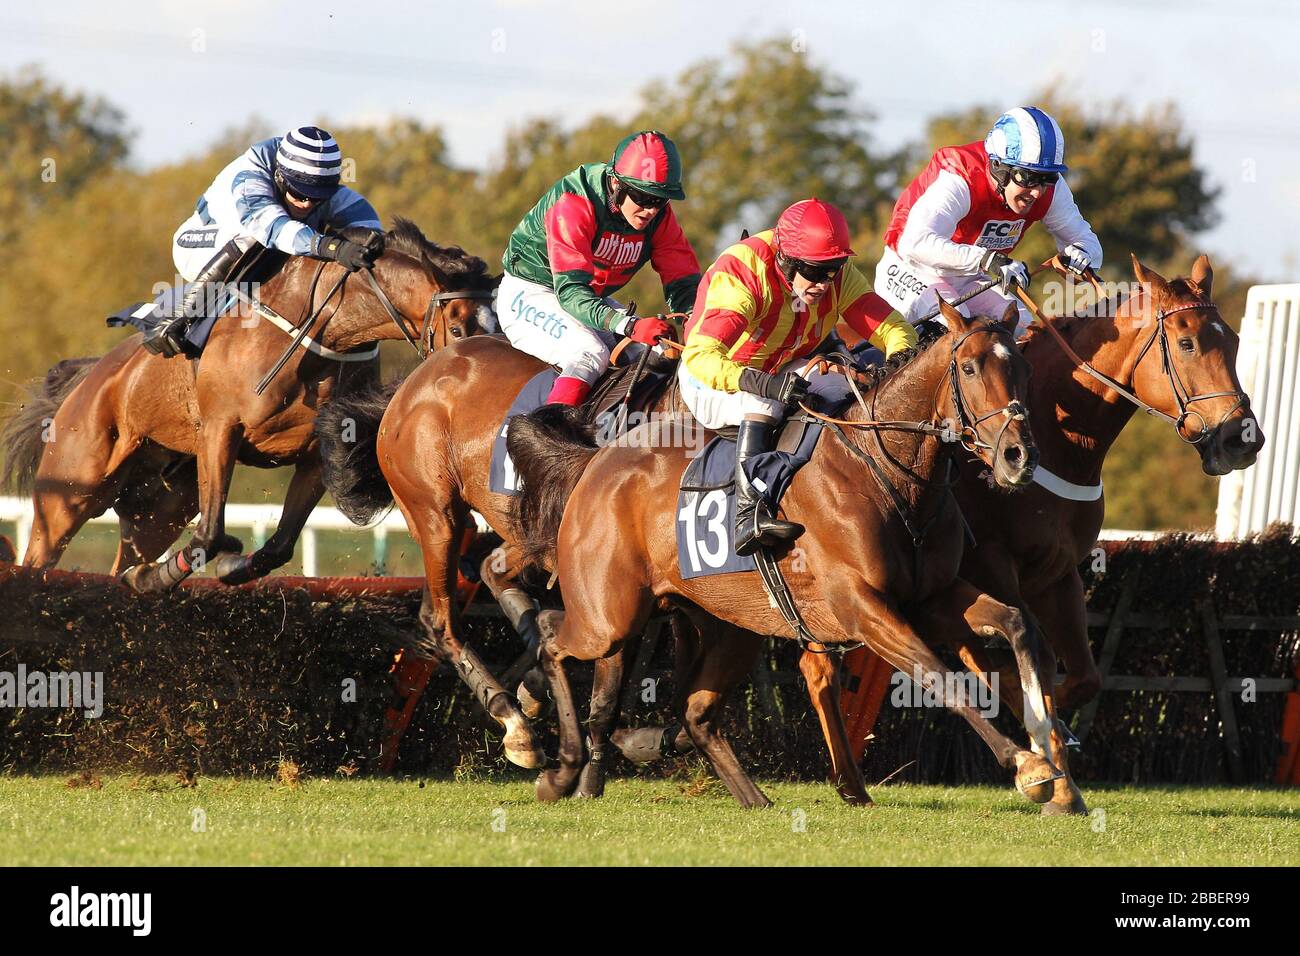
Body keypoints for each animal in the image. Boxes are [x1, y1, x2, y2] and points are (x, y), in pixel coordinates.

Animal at [3, 218, 491, 590]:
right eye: (459, 327)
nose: (477, 377)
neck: (319, 333)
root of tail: (90, 378)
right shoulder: (221, 430)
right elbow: (210, 534)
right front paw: (176, 572)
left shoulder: (315, 452)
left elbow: (278, 544)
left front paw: (228, 566)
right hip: (69, 490)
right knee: (39, 557)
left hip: (157, 511)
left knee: (123, 561)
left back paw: (136, 574)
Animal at [506, 300, 1066, 806]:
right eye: (969, 367)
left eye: (1022, 369)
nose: (1019, 456)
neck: (887, 476)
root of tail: (596, 460)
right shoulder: (863, 607)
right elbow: (940, 677)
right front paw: (1026, 764)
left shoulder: (931, 598)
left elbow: (1018, 623)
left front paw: (1048, 748)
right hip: (611, 616)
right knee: (554, 639)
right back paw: (558, 764)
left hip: (731, 624)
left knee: (695, 711)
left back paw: (754, 797)